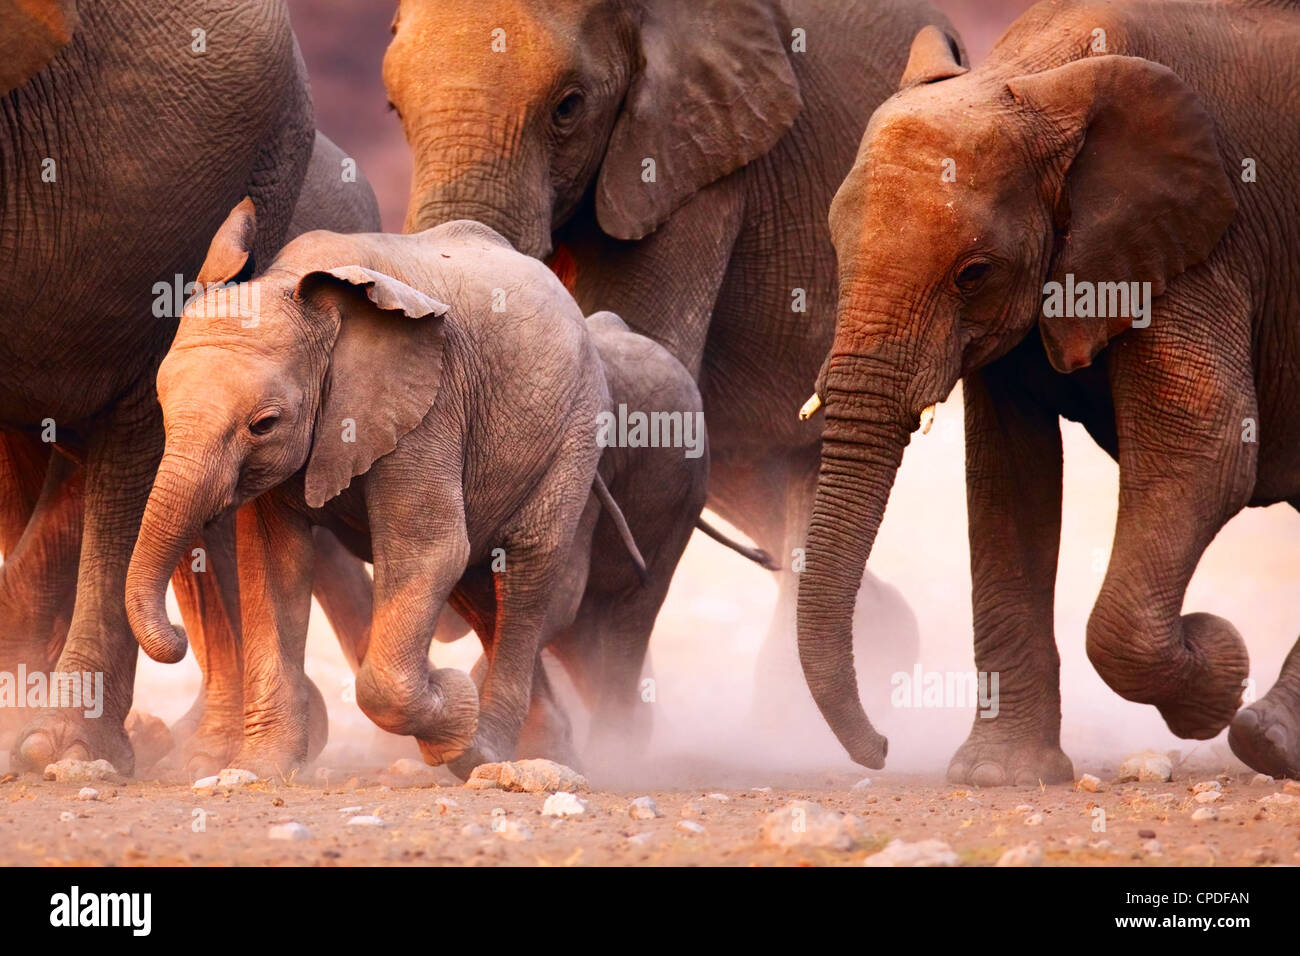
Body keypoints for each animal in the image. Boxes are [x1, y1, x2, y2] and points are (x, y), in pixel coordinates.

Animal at [795, 1, 1294, 780]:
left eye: (973, 273)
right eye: (837, 250)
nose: (880, 749)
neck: (1038, 77)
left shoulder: (1199, 245)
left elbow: (1206, 446)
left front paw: (1217, 666)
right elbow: (1008, 479)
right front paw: (999, 777)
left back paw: (1261, 737)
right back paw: (1271, 738)